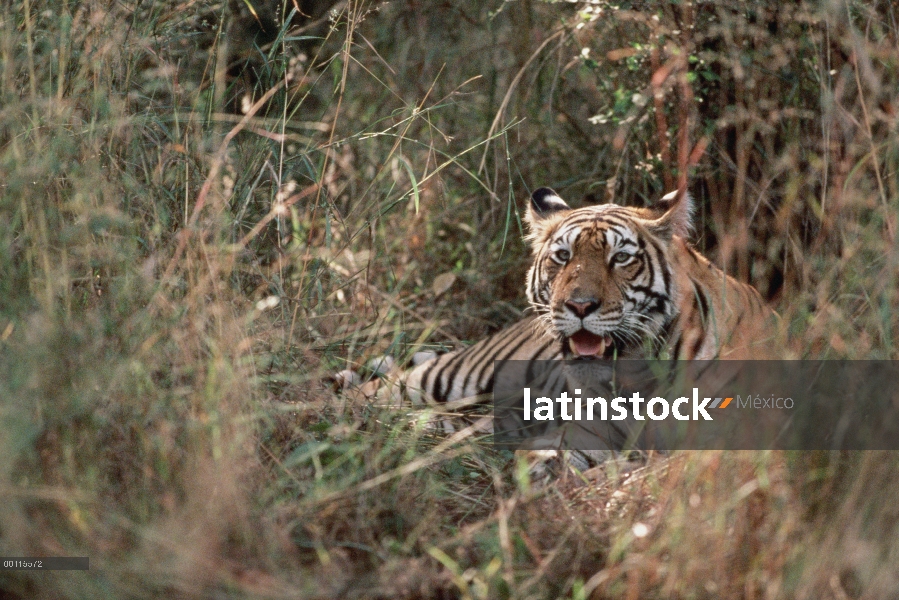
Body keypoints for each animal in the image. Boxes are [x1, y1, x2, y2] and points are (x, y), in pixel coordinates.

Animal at [342, 185, 776, 476]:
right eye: (563, 256)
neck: (638, 376)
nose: (579, 306)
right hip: (451, 374)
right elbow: (554, 462)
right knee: (372, 392)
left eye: (620, 258)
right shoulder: (584, 432)